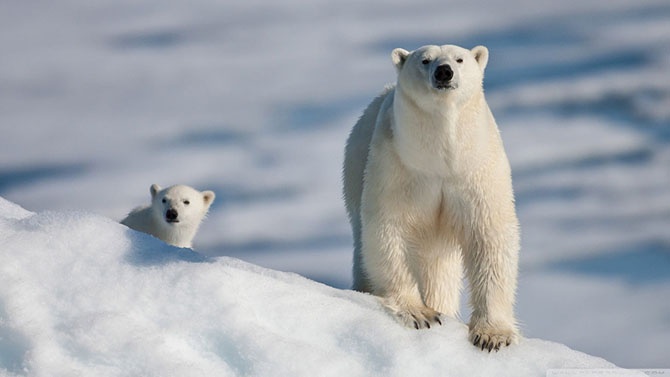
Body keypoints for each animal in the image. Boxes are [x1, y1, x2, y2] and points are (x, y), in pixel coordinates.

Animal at [344, 43, 524, 350]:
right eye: (425, 60)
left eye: (460, 59)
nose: (444, 72)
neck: (441, 159)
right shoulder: (399, 166)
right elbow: (389, 229)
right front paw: (420, 313)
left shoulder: (476, 169)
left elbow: (489, 235)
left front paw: (492, 335)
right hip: (355, 169)